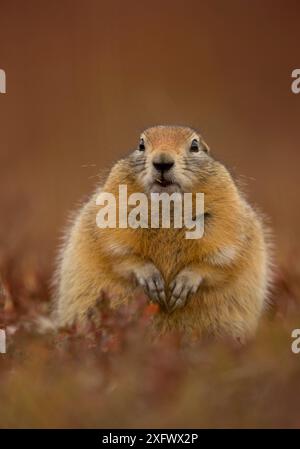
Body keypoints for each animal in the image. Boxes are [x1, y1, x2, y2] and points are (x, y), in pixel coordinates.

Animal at [53, 125, 272, 340]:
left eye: (195, 146)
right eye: (141, 145)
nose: (162, 161)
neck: (168, 206)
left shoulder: (227, 216)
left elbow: (220, 258)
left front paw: (184, 282)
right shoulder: (113, 211)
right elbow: (118, 250)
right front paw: (150, 277)